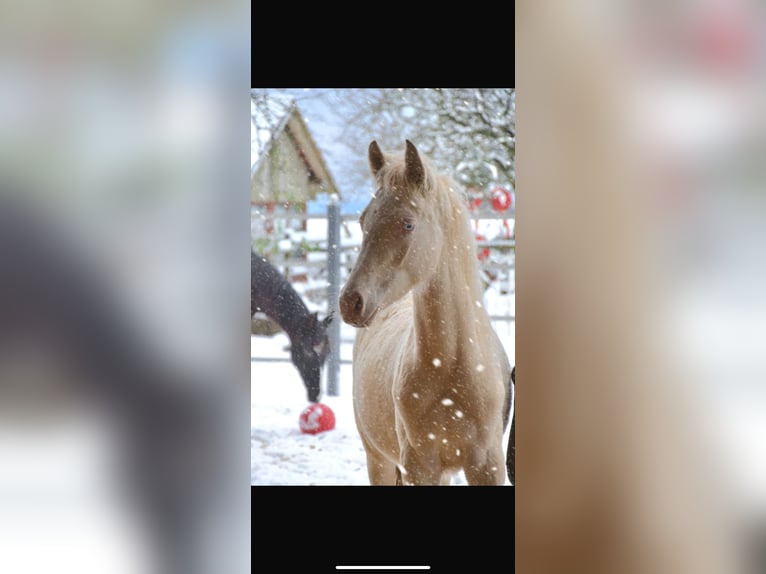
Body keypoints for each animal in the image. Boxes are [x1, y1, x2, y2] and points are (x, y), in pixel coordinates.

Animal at [340, 140, 510, 486]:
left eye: (408, 223)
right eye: (363, 221)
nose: (351, 302)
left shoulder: (488, 465)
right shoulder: (419, 466)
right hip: (378, 460)